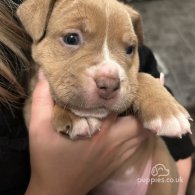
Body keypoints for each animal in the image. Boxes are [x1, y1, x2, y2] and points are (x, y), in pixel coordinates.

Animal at [17, 0, 192, 194]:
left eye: (130, 49)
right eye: (71, 38)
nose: (109, 84)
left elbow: (140, 77)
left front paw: (167, 111)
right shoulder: (29, 106)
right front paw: (77, 116)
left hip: (163, 173)